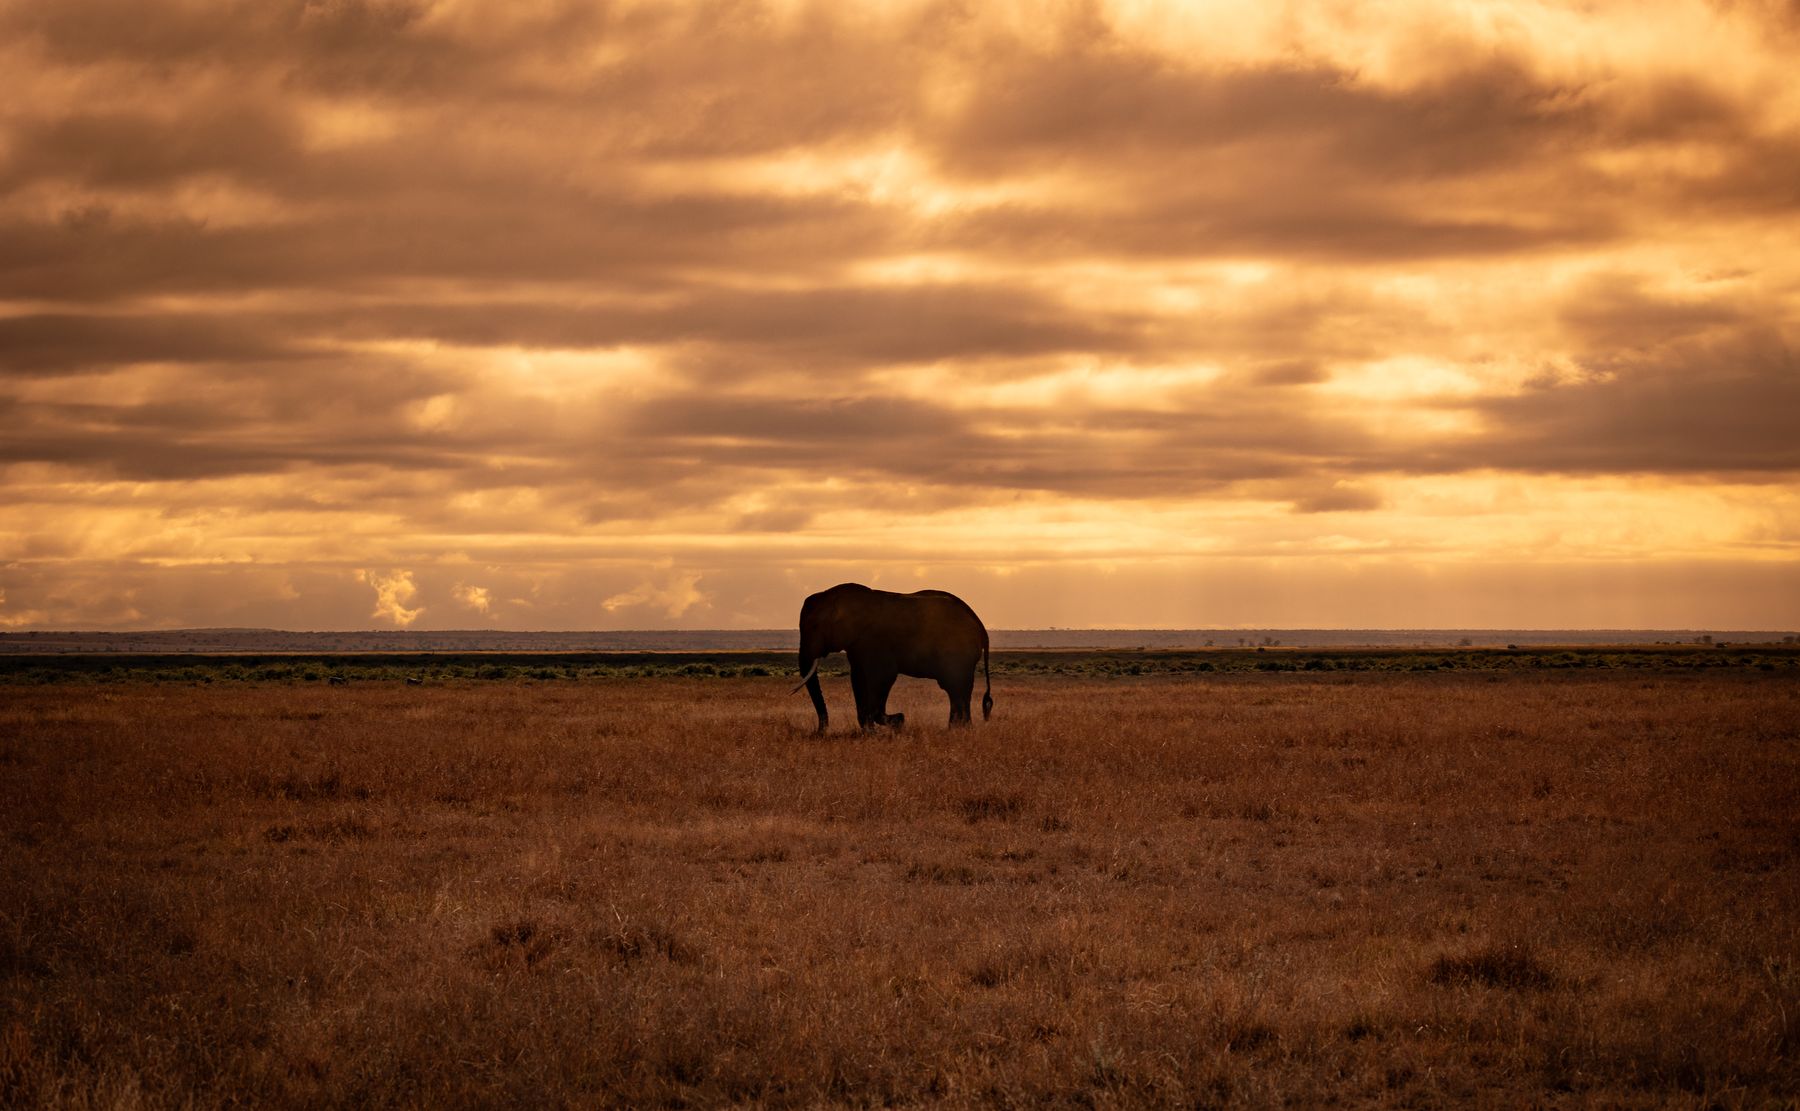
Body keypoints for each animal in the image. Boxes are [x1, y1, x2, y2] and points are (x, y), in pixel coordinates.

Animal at [792, 583, 993, 731]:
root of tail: (979, 625)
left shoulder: (876, 641)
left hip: (959, 653)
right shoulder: (857, 645)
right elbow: (858, 679)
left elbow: (882, 677)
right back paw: (958, 729)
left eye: (815, 627)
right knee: (956, 689)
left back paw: (959, 730)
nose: (820, 731)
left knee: (956, 687)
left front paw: (899, 721)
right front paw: (870, 732)